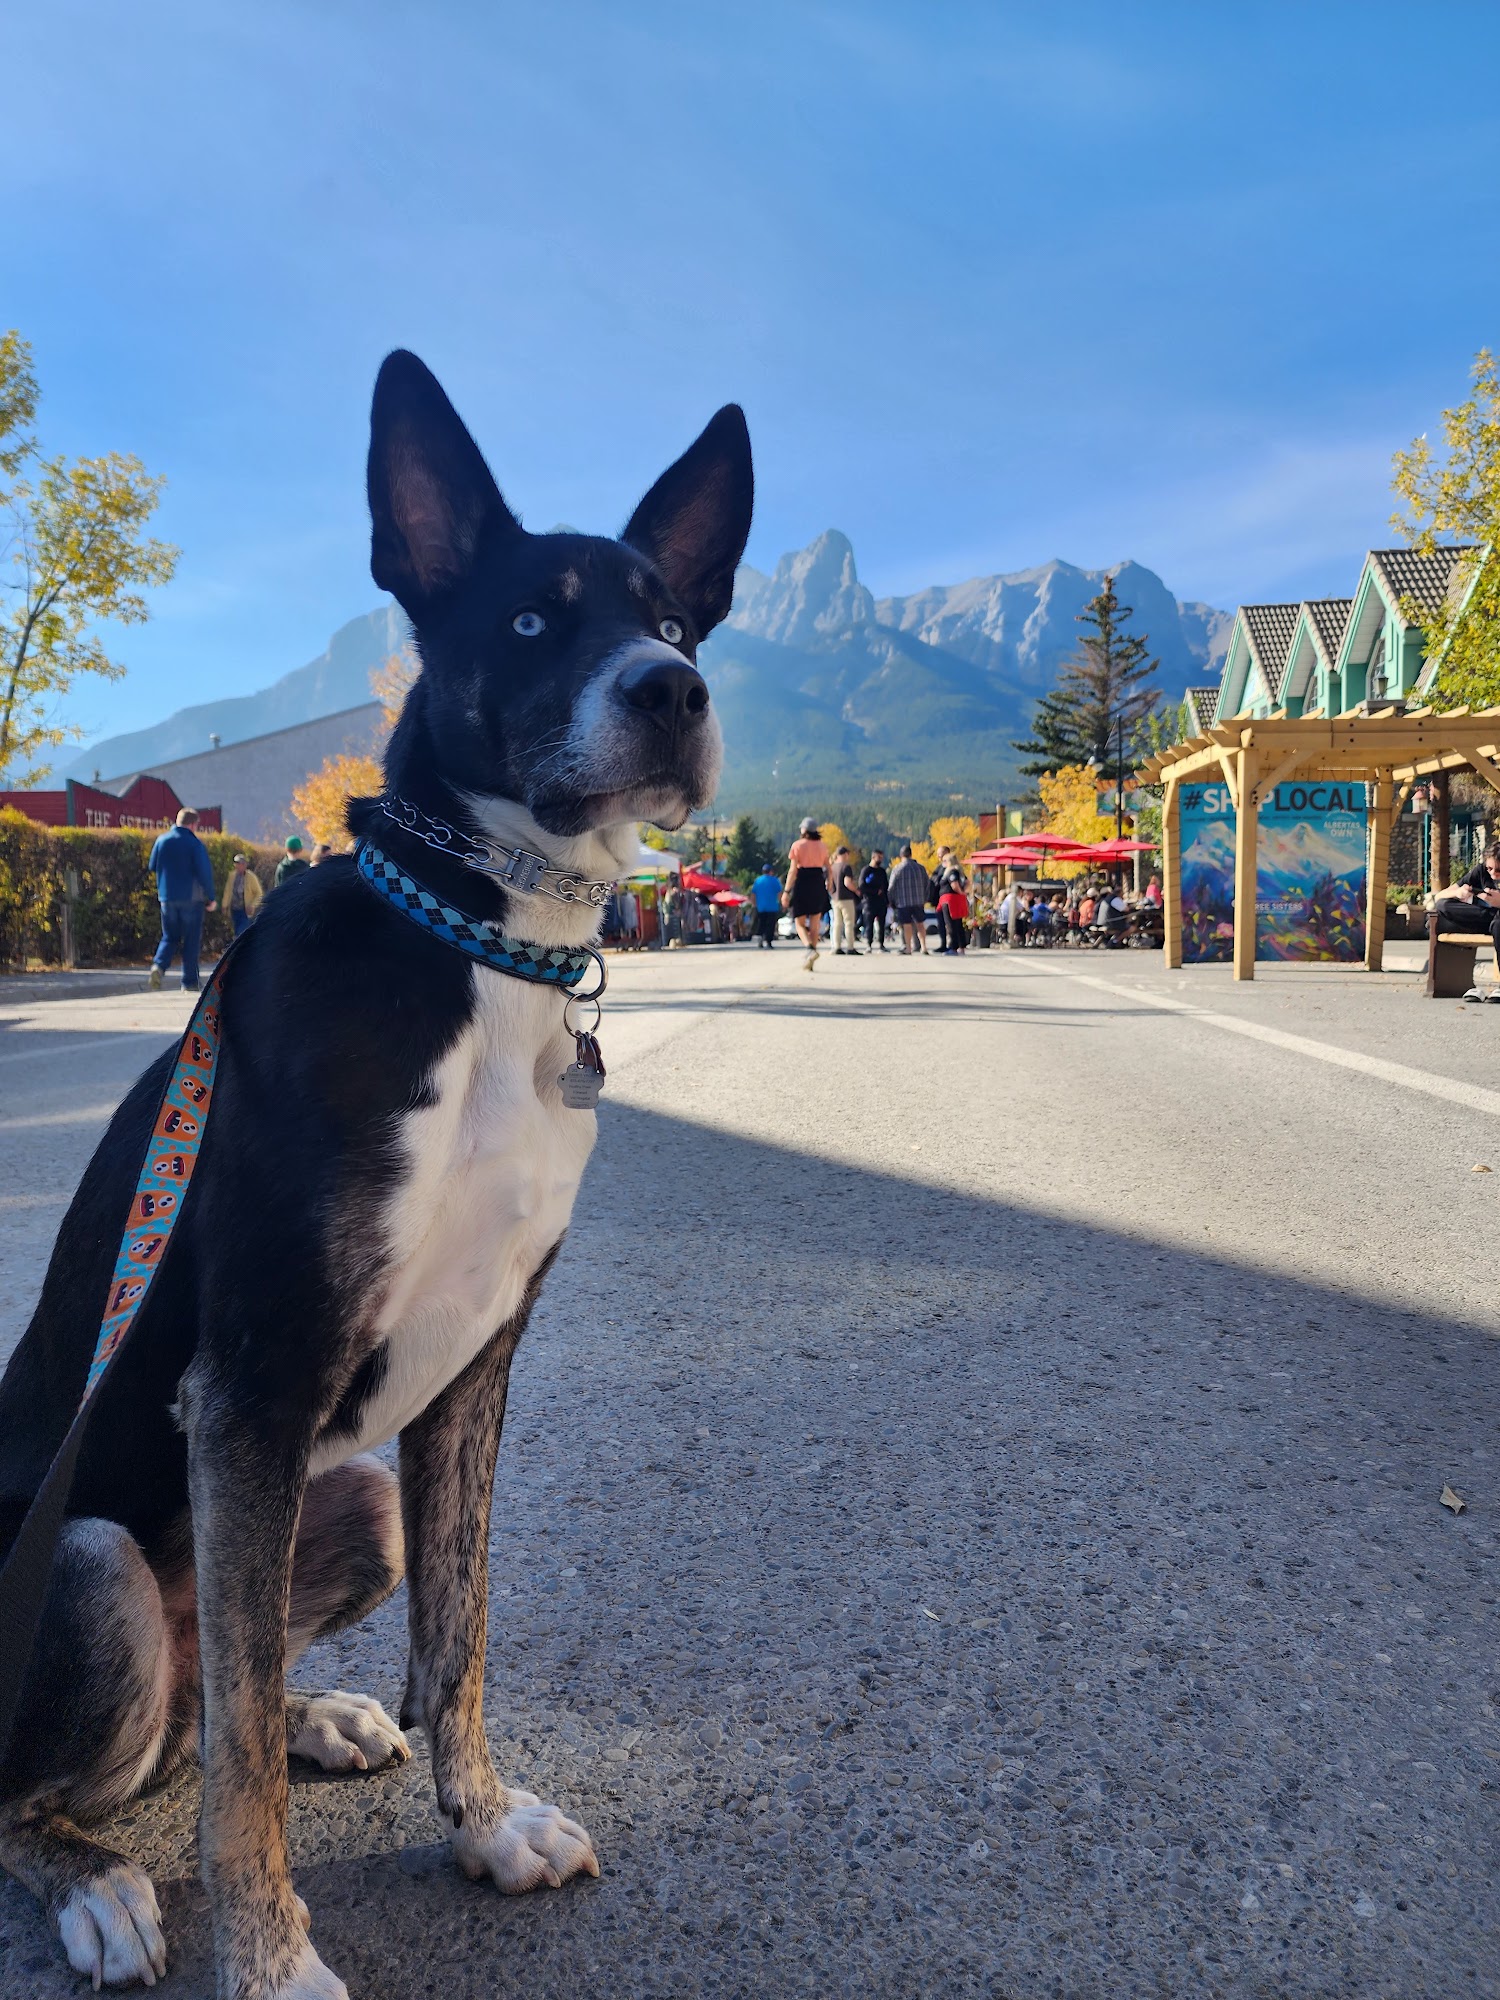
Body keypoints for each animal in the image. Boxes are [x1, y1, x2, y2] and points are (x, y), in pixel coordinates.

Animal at [0, 350, 752, 1998]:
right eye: (530, 621)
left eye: (674, 622)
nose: (672, 691)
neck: (477, 939)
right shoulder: (251, 1386)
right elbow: (235, 1786)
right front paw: (274, 1960)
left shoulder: (475, 1368)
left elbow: (457, 1638)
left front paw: (481, 1819)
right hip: (88, 1557)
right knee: (78, 1771)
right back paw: (93, 1884)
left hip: (343, 1502)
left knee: (217, 1698)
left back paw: (317, 1715)